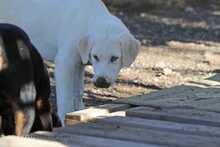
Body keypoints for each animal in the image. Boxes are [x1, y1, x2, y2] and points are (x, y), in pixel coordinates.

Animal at [0, 0, 140, 124]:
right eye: (95, 56)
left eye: (114, 58)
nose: (101, 82)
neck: (87, 20)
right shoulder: (64, 63)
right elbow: (66, 99)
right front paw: (64, 119)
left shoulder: (78, 65)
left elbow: (77, 95)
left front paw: (78, 112)